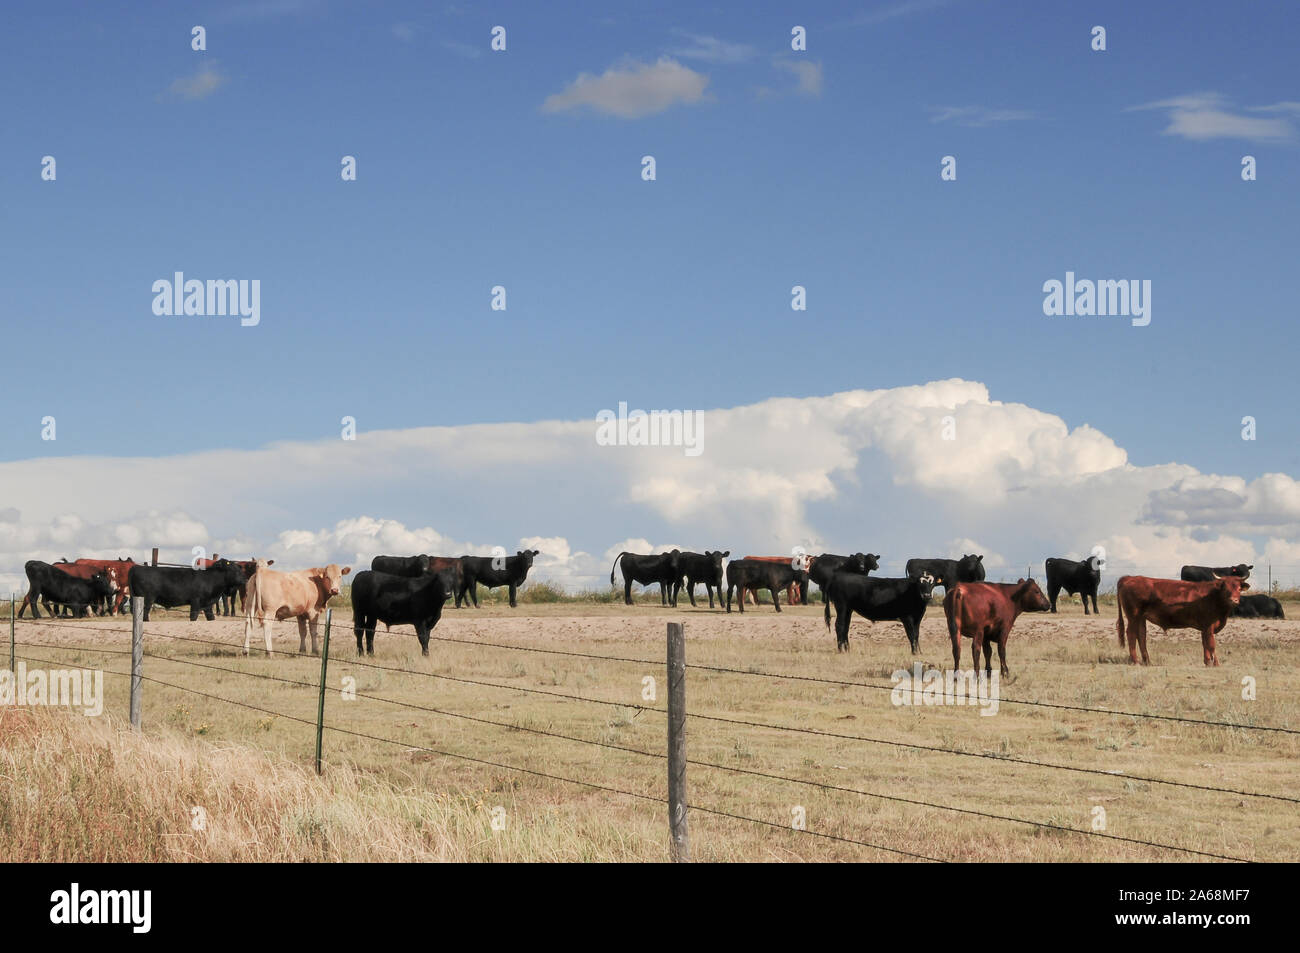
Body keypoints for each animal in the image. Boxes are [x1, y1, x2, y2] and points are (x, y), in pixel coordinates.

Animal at [1112, 577, 1242, 665]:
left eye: (1239, 588)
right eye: (1226, 589)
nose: (1234, 600)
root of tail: (1130, 577)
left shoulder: (1204, 627)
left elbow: (1205, 643)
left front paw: (1207, 662)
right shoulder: (1208, 625)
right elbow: (1211, 644)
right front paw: (1215, 664)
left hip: (1140, 618)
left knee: (1141, 635)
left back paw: (1147, 661)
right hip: (1133, 616)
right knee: (1131, 634)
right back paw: (1135, 661)